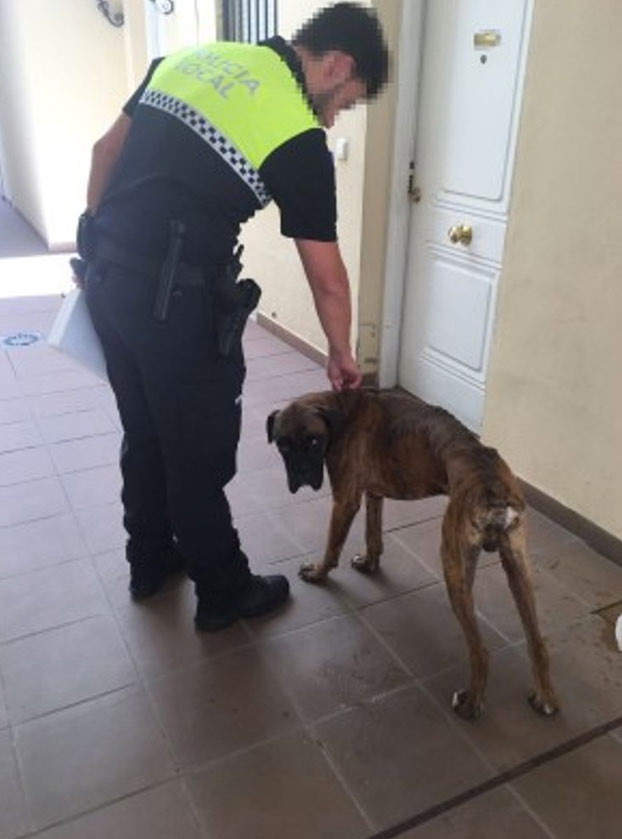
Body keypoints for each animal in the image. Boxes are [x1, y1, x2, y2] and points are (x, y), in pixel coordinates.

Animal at [268, 388, 560, 720]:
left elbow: (332, 546)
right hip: (518, 568)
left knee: (481, 652)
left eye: (314, 441)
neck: (341, 411)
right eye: (282, 444)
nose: (301, 471)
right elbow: (373, 534)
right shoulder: (374, 494)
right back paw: (545, 695)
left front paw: (318, 573)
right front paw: (369, 563)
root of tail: (492, 492)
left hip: (454, 565)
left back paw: (471, 703)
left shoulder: (344, 501)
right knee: (537, 641)